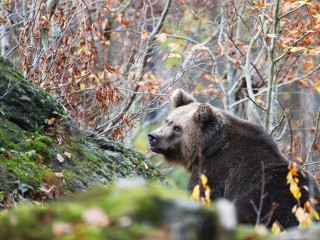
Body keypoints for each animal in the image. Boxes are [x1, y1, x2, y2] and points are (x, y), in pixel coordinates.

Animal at [149, 88, 320, 229]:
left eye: (178, 128)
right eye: (167, 120)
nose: (153, 137)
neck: (208, 147)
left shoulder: (215, 171)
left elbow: (200, 194)